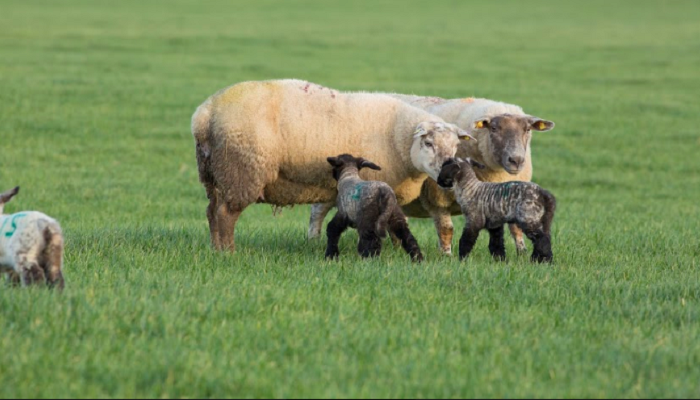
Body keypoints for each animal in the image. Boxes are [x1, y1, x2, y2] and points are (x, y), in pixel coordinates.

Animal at [192, 80, 474, 252]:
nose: (447, 177)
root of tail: (205, 114)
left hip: (215, 174)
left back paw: (215, 249)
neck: (398, 139)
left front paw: (396, 249)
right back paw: (228, 251)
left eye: (455, 147)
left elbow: (396, 224)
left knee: (212, 211)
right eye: (428, 142)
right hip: (240, 171)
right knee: (226, 214)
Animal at [308, 95, 555, 256]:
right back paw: (314, 240)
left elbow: (515, 227)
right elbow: (446, 229)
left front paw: (522, 252)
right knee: (317, 211)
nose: (516, 160)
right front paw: (446, 255)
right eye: (493, 128)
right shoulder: (438, 199)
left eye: (527, 130)